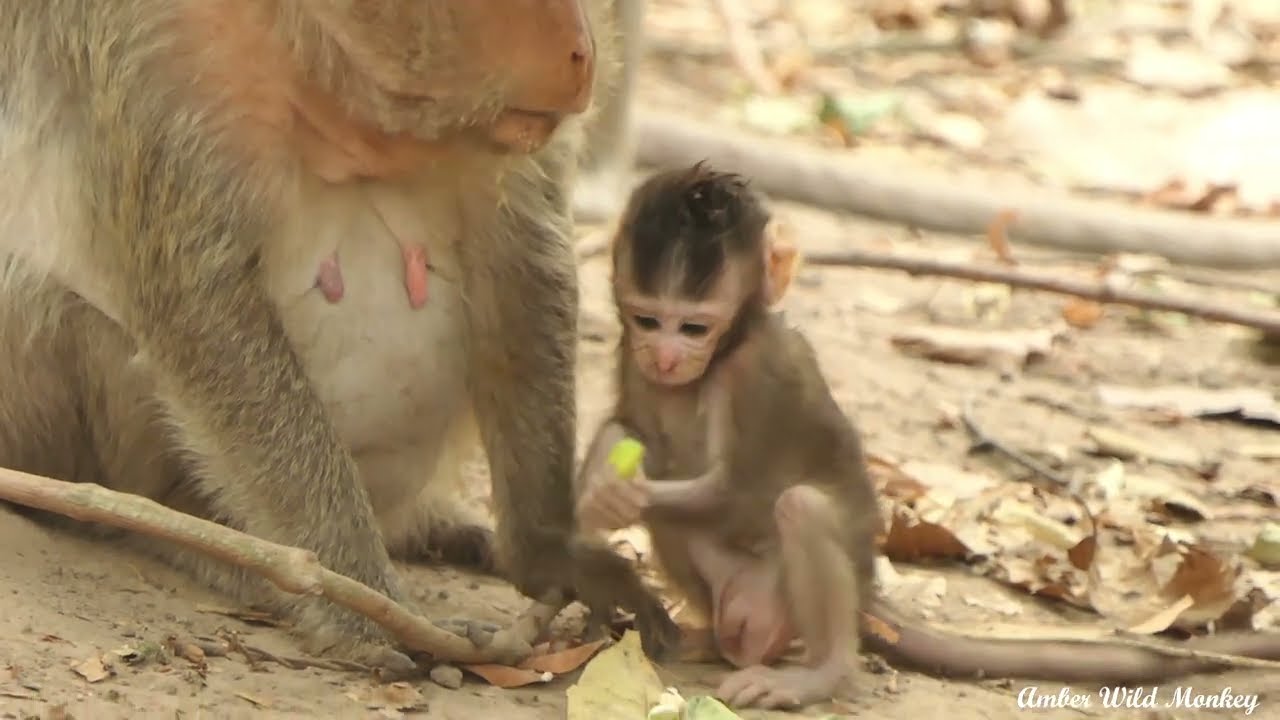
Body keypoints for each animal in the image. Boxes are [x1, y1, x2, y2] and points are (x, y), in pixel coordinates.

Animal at [0, 0, 678, 671]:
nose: (584, 53)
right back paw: (197, 535)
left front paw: (550, 549)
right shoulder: (153, 49)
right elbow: (202, 306)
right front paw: (365, 604)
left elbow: (525, 259)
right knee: (54, 304)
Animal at [575, 163, 1280, 709]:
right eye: (648, 320)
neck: (720, 357)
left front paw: (611, 496)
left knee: (800, 510)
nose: (667, 357)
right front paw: (598, 476)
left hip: (773, 606)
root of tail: (868, 588)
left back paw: (822, 672)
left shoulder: (760, 373)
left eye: (694, 327)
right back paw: (699, 636)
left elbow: (740, 489)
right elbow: (629, 426)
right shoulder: (629, 352)